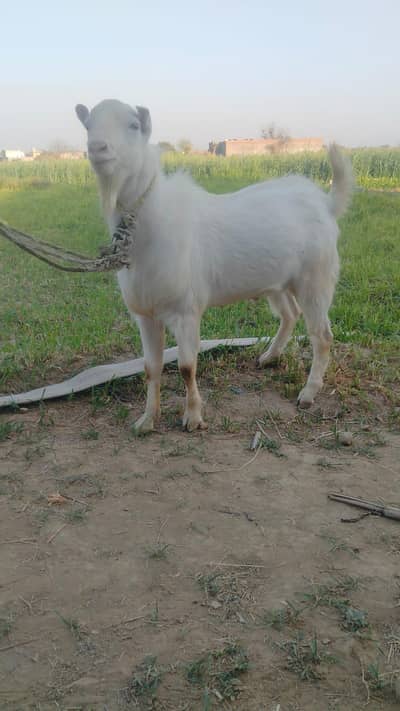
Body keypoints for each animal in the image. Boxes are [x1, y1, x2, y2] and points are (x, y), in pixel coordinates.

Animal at [76, 99, 353, 433]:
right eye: (88, 125)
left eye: (133, 125)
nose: (97, 147)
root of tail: (326, 202)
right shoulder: (145, 314)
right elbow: (151, 368)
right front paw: (147, 420)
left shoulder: (186, 310)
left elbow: (186, 367)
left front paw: (193, 418)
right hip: (278, 281)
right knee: (290, 314)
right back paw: (269, 357)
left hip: (315, 278)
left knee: (322, 336)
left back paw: (308, 394)